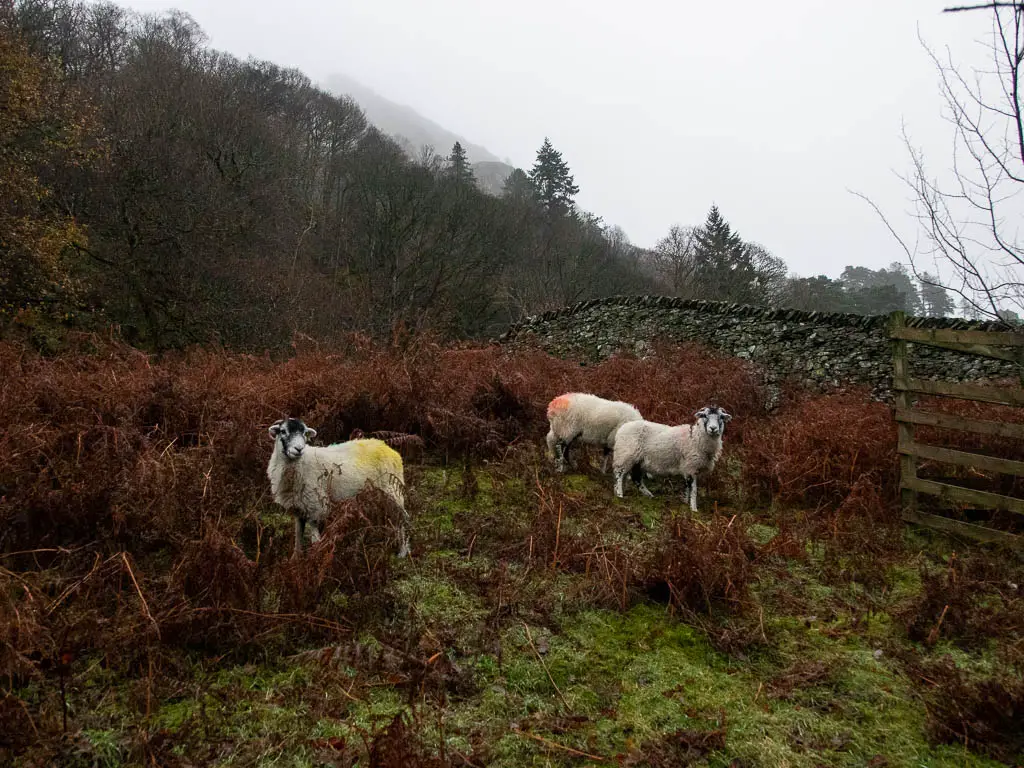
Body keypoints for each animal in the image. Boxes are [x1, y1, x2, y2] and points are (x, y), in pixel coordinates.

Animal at [266, 417, 409, 557]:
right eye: (283, 431)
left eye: (304, 433)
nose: (299, 449)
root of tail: (386, 447)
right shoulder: (298, 509)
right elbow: (298, 538)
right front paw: (296, 559)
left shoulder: (316, 508)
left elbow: (315, 540)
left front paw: (315, 559)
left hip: (393, 491)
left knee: (401, 519)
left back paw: (402, 552)